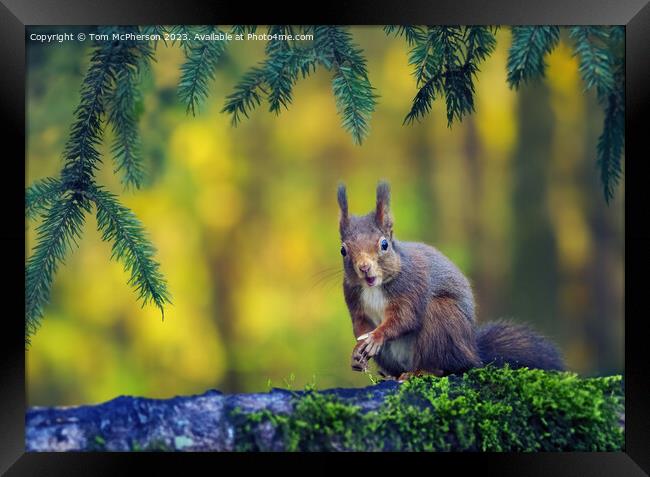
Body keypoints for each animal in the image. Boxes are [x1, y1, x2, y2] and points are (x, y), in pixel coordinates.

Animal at [340, 179, 560, 380]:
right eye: (343, 250)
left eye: (384, 244)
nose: (364, 267)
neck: (374, 287)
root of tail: (473, 353)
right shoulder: (354, 299)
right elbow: (360, 325)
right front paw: (358, 350)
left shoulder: (413, 287)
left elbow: (404, 318)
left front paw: (376, 336)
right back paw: (391, 376)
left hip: (442, 320)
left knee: (445, 367)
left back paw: (420, 372)